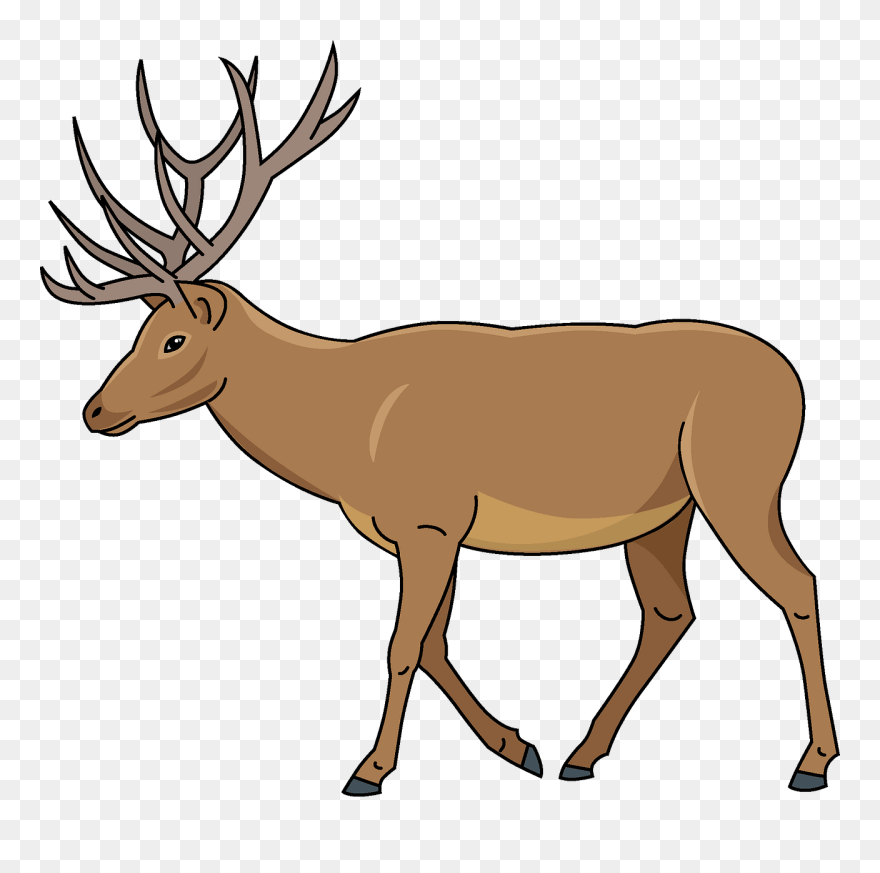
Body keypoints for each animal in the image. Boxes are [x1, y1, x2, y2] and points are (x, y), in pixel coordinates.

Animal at [41, 46, 839, 797]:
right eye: (140, 333)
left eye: (174, 339)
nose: (96, 409)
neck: (346, 433)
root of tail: (796, 382)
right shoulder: (428, 530)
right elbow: (432, 646)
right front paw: (517, 746)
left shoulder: (431, 518)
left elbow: (402, 645)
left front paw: (368, 770)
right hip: (663, 512)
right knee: (671, 612)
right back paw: (581, 754)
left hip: (738, 482)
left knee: (798, 584)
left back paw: (814, 761)